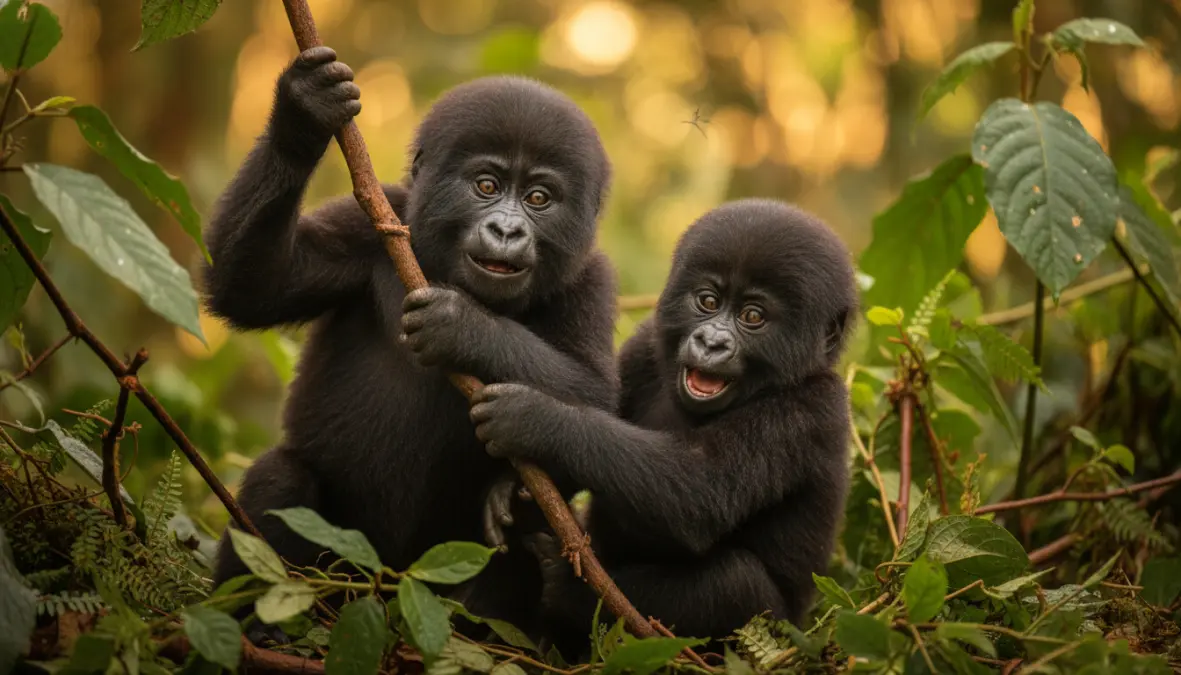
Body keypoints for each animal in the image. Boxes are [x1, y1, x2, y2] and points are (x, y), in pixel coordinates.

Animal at [202, 46, 617, 634]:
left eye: (540, 198)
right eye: (487, 186)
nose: (507, 231)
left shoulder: (591, 279)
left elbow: (597, 400)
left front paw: (464, 327)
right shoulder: (377, 220)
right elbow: (251, 287)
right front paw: (303, 114)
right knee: (282, 479)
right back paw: (260, 627)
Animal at [471, 199, 855, 649]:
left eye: (752, 316)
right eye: (708, 301)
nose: (711, 342)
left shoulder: (813, 408)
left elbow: (702, 492)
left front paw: (536, 419)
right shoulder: (646, 344)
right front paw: (516, 487)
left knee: (735, 583)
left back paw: (569, 590)